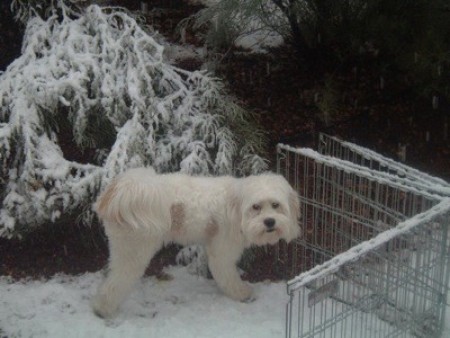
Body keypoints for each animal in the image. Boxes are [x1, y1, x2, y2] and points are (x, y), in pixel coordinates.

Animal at [91, 168, 300, 318]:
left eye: (275, 205)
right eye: (256, 207)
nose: (270, 222)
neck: (237, 206)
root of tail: (119, 191)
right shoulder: (222, 252)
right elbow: (227, 276)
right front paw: (241, 293)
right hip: (133, 251)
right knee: (116, 282)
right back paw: (103, 309)